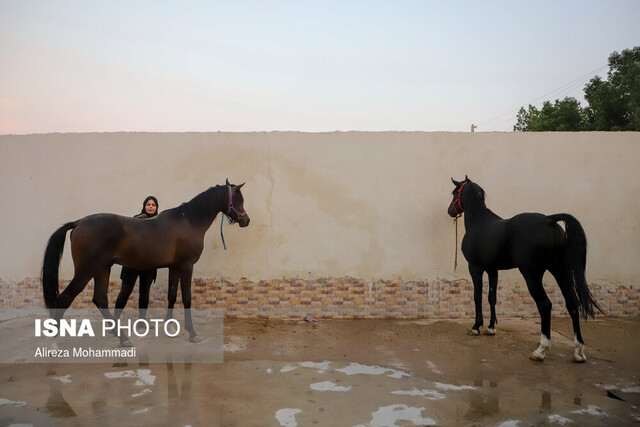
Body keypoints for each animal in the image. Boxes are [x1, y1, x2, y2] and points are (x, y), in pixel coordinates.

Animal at [42, 179, 250, 346]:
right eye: (238, 200)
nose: (246, 221)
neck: (189, 222)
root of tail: (78, 222)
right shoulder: (186, 266)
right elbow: (187, 298)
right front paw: (192, 333)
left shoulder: (174, 267)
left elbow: (172, 296)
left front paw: (169, 328)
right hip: (86, 271)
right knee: (65, 298)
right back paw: (54, 342)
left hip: (102, 269)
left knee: (100, 299)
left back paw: (122, 337)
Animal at [448, 176, 604, 362]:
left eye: (454, 193)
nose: (450, 211)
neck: (479, 222)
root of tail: (549, 220)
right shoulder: (493, 270)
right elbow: (492, 297)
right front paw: (491, 327)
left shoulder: (475, 268)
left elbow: (477, 296)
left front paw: (476, 327)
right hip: (560, 272)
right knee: (572, 303)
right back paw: (578, 351)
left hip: (532, 275)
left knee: (545, 305)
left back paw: (541, 350)